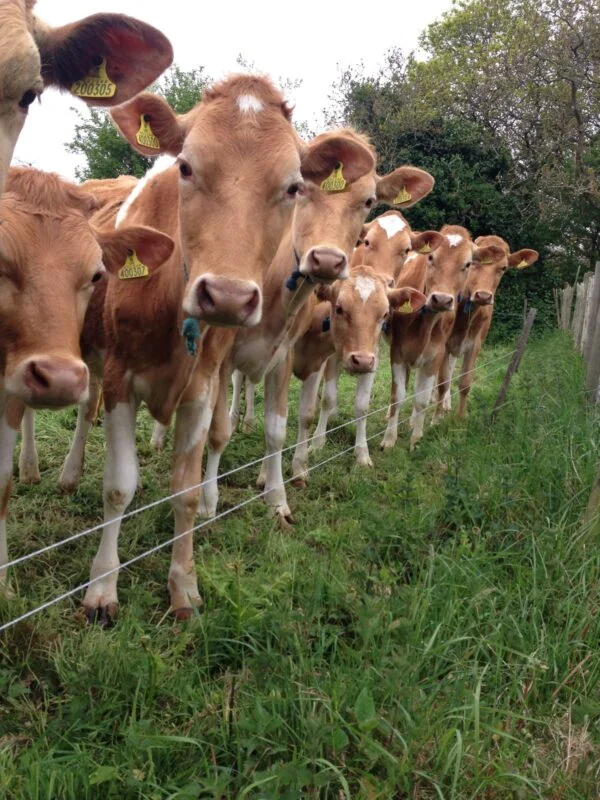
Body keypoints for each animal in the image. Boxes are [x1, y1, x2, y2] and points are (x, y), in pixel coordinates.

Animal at [290, 267, 427, 484]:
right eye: (339, 308)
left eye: (385, 313)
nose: (360, 360)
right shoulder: (331, 358)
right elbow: (328, 399)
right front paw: (318, 442)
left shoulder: (373, 357)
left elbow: (362, 407)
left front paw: (362, 454)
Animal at [434, 234, 538, 419]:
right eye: (473, 263)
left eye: (503, 268)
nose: (483, 296)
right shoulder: (443, 342)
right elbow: (442, 382)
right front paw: (435, 418)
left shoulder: (474, 344)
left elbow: (465, 383)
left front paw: (460, 418)